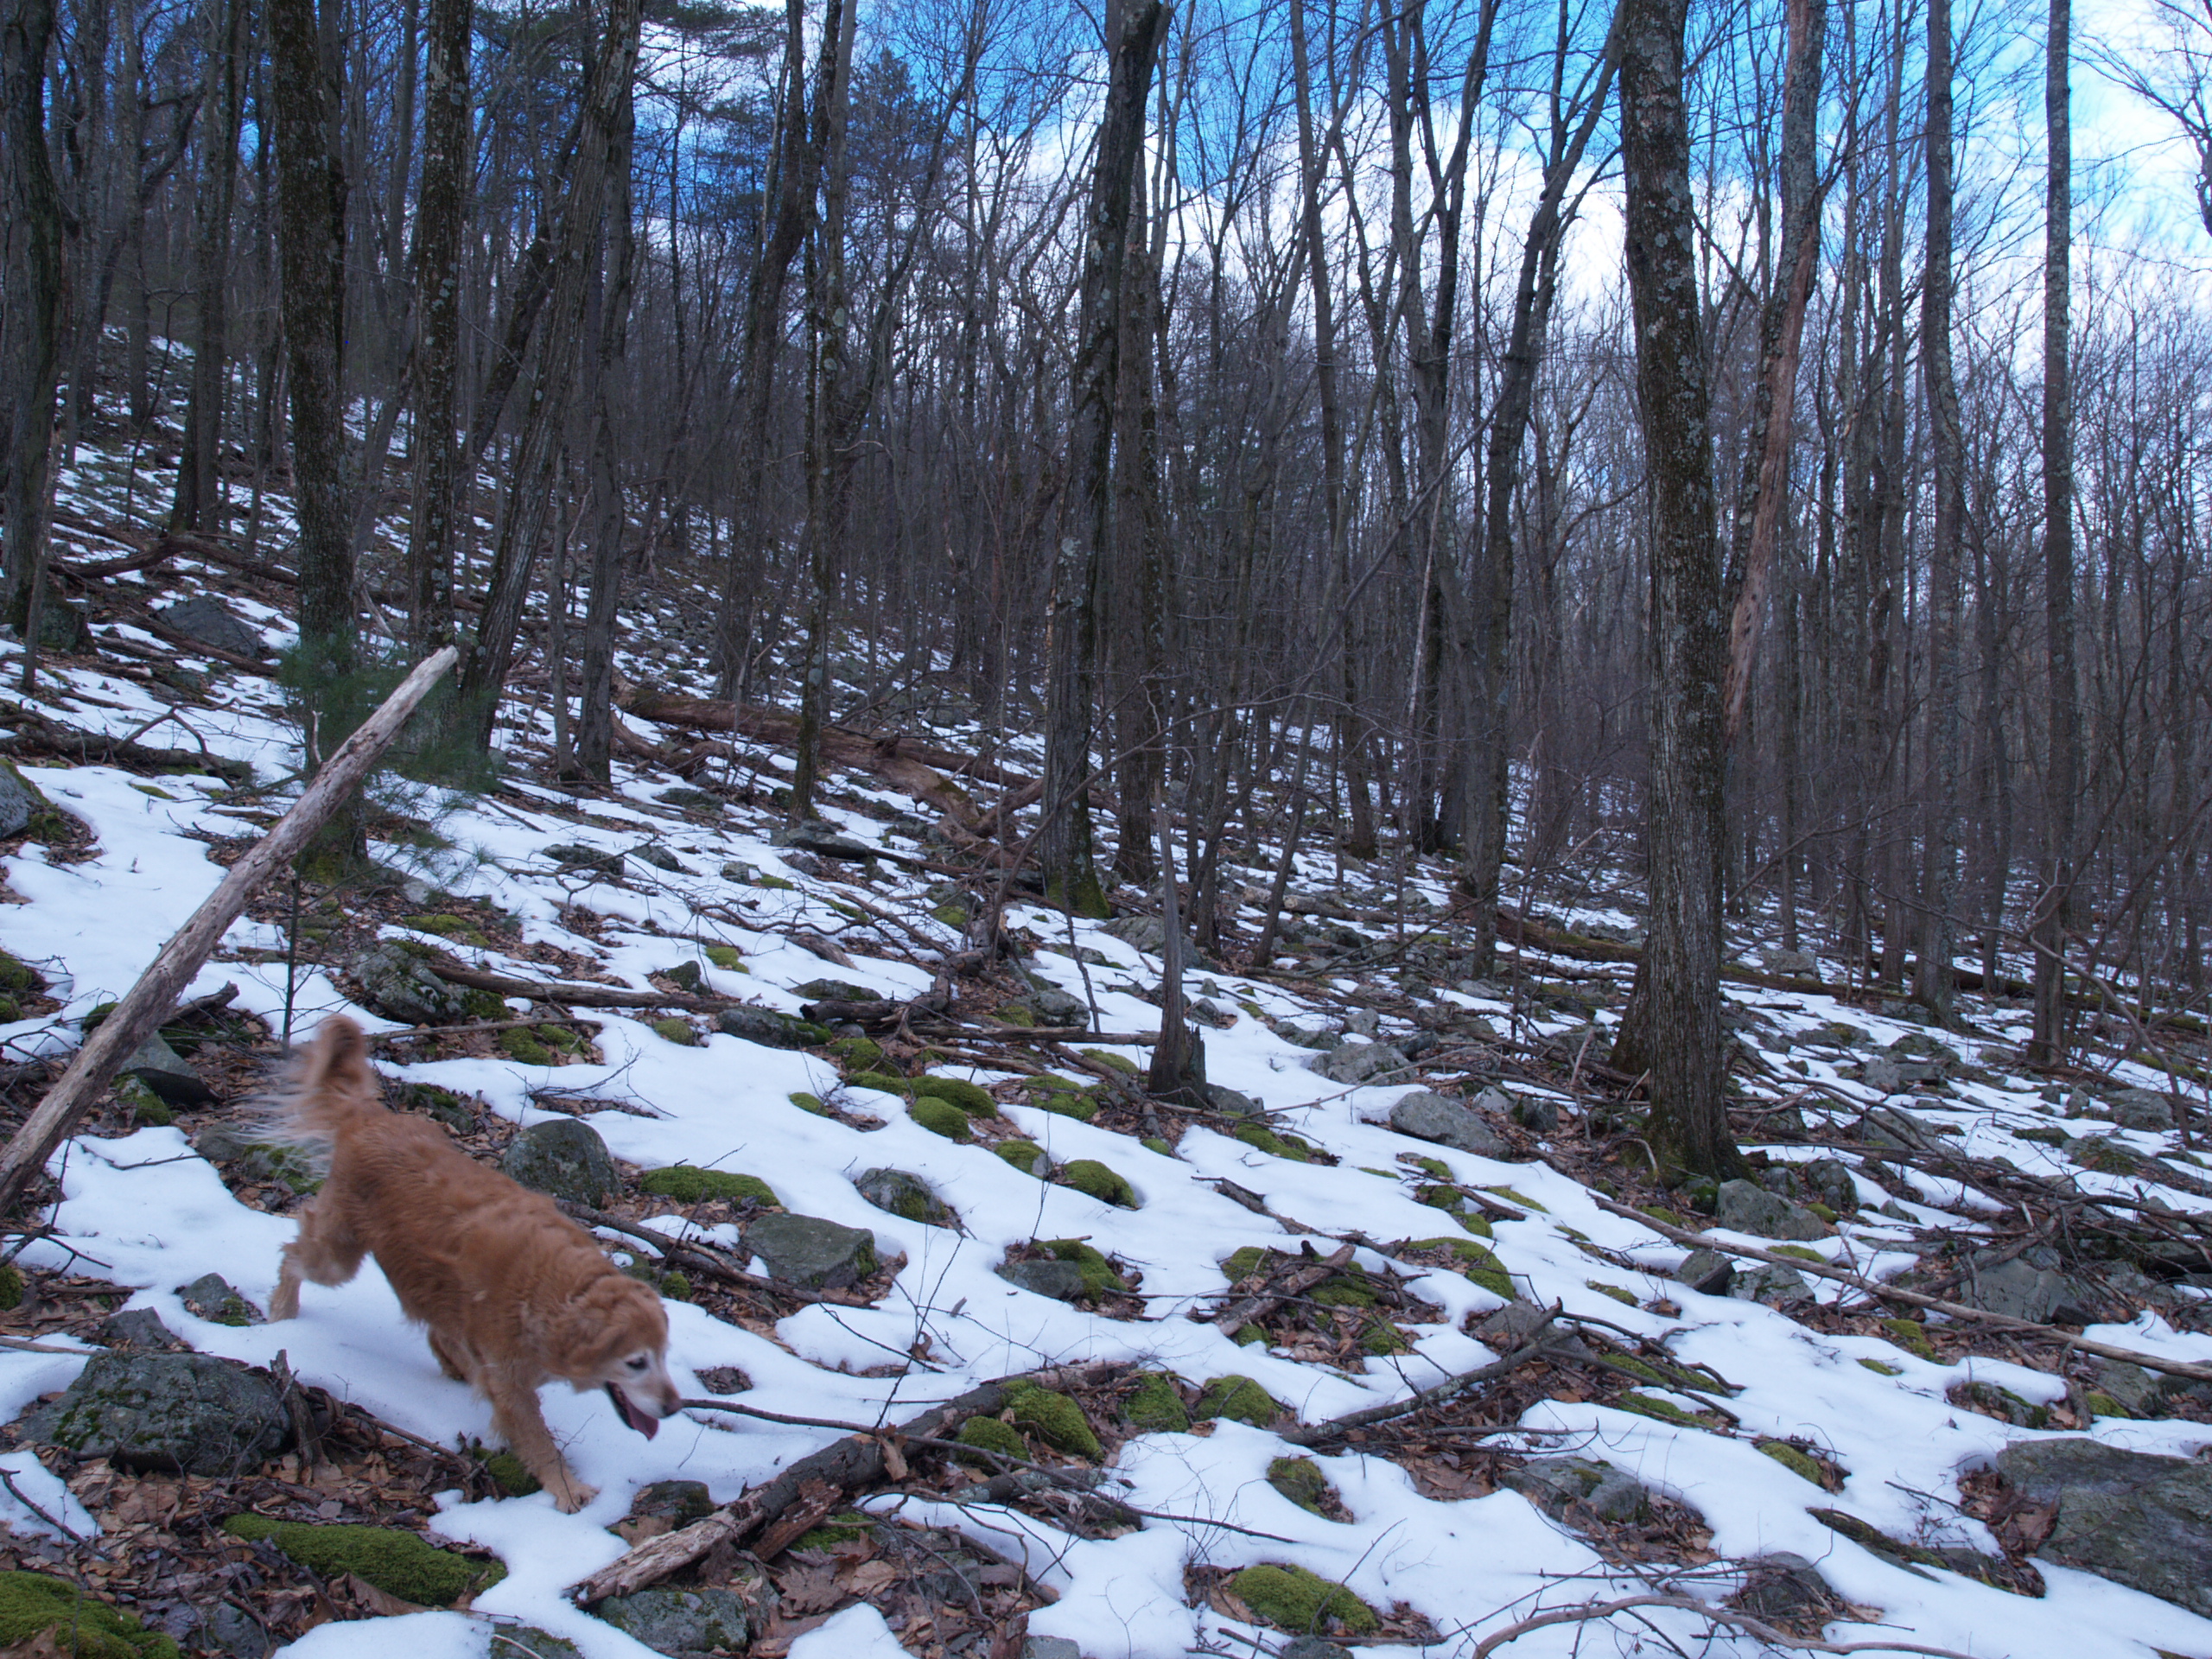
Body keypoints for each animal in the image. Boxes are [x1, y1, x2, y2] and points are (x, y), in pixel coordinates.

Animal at [263, 1021, 672, 1513]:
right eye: (636, 1362)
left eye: (665, 1356)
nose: (675, 1407)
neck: (556, 1293)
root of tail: (373, 1117)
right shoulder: (511, 1384)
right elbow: (540, 1442)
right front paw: (568, 1490)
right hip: (338, 1255)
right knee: (291, 1254)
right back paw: (281, 1313)